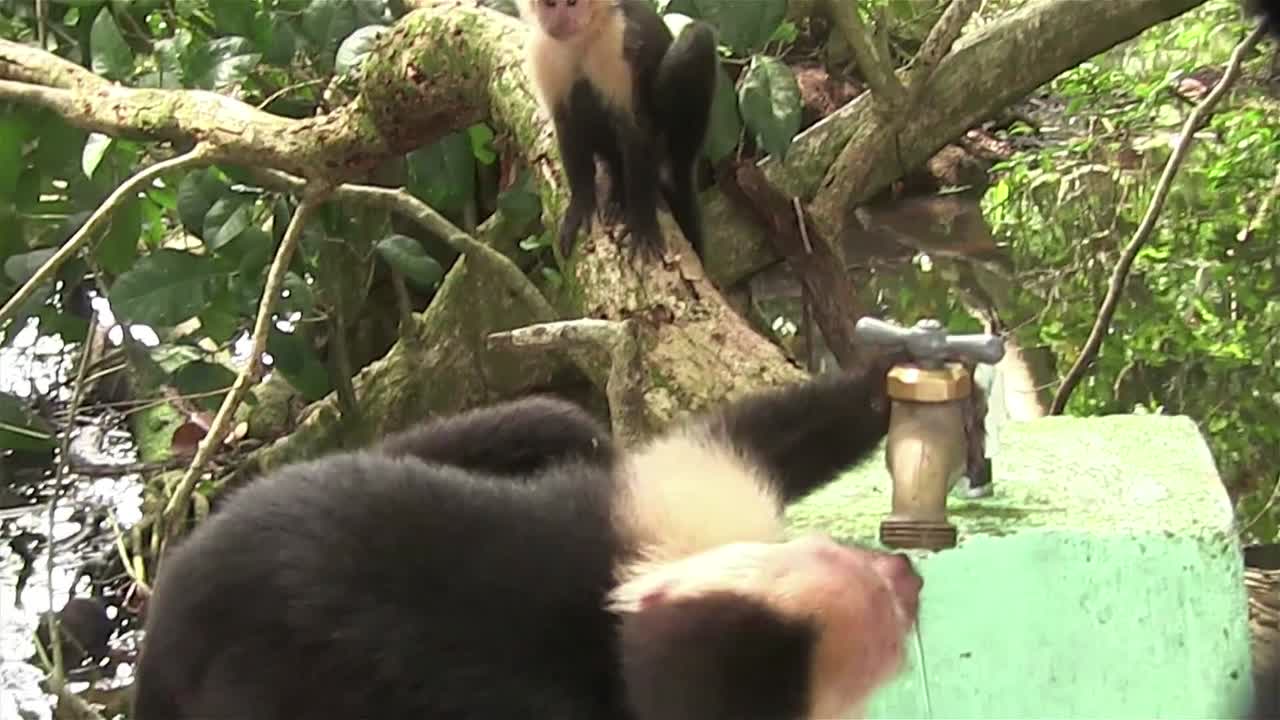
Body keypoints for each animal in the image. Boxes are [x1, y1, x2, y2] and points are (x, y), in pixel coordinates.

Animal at [130, 354, 923, 720]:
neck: (607, 632)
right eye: (885, 645)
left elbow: (750, 439)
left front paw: (898, 378)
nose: (910, 578)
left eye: (833, 555)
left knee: (557, 423)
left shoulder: (663, 524)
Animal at [519, 0, 720, 260]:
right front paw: (581, 202)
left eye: (573, 3)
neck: (583, 38)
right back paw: (616, 182)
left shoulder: (618, 39)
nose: (560, 22)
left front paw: (642, 224)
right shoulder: (544, 50)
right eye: (551, 5)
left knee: (697, 38)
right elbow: (565, 122)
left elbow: (635, 129)